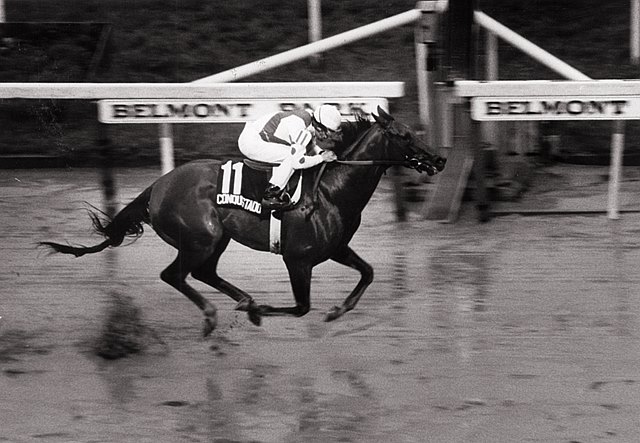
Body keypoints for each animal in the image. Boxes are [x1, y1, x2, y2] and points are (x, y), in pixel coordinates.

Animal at [41, 108, 444, 336]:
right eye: (404, 136)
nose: (439, 159)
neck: (333, 189)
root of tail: (158, 185)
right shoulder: (297, 260)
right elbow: (302, 307)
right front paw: (266, 310)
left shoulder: (336, 248)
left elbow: (369, 273)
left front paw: (336, 311)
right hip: (200, 237)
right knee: (175, 275)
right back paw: (216, 315)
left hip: (217, 238)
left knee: (203, 273)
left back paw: (244, 303)